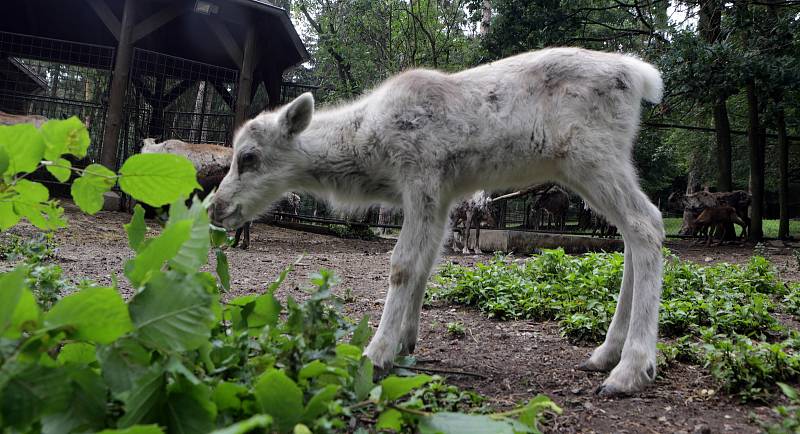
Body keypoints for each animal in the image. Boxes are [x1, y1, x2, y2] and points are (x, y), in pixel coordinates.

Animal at [209, 47, 664, 396]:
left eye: (248, 157)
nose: (216, 208)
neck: (370, 149)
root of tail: (641, 77)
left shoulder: (422, 176)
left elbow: (403, 264)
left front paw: (376, 353)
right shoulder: (443, 196)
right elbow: (427, 262)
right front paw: (407, 340)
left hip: (592, 156)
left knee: (646, 225)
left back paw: (630, 370)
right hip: (590, 167)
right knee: (634, 232)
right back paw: (604, 355)